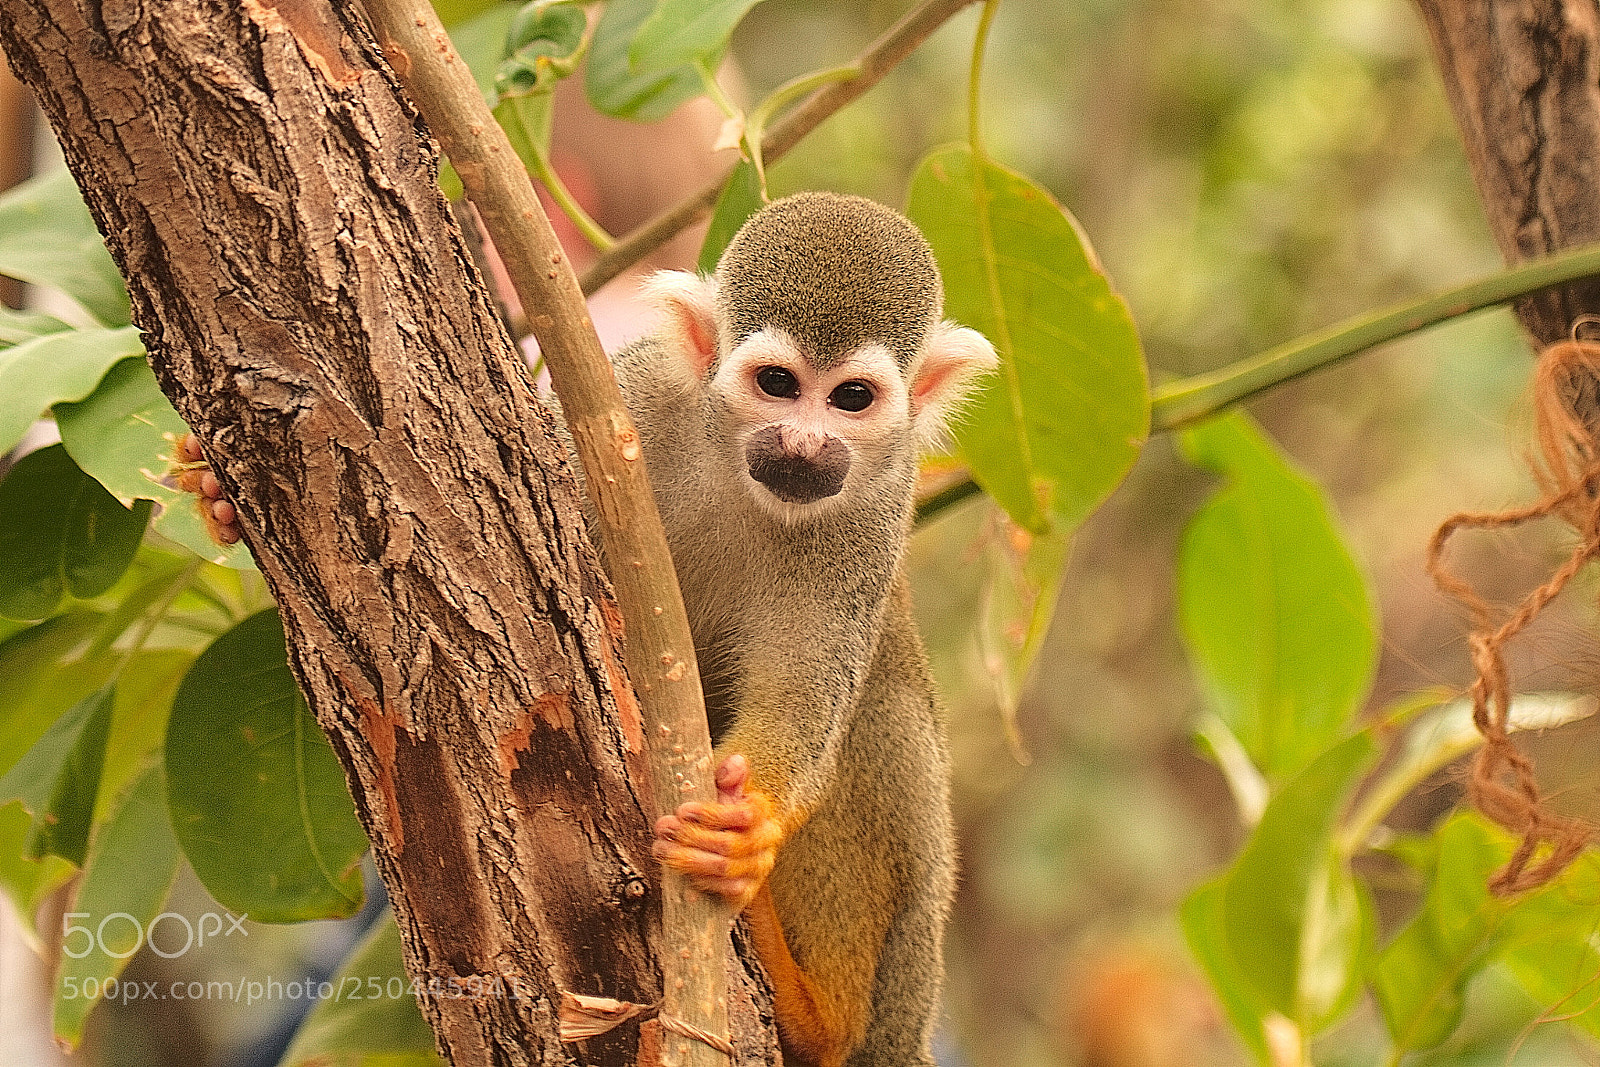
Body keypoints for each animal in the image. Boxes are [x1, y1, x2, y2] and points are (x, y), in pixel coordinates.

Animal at [177, 191, 996, 1067]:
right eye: (778, 384)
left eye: (851, 399)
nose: (805, 445)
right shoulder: (635, 397)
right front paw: (218, 498)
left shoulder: (877, 507)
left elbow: (810, 694)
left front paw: (745, 826)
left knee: (882, 713)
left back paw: (822, 1016)